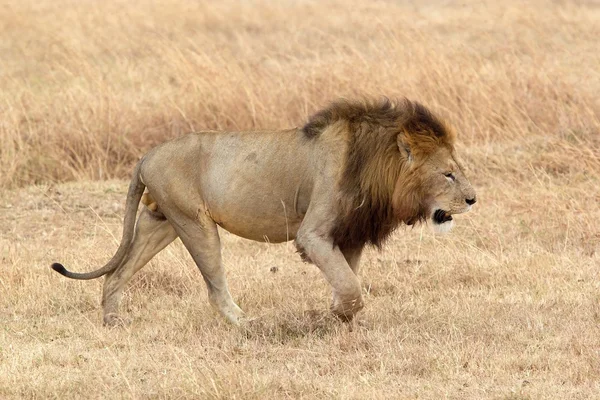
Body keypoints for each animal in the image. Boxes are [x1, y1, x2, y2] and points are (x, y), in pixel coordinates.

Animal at [49, 98, 476, 326]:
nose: (473, 199)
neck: (377, 169)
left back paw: (113, 322)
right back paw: (245, 324)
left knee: (116, 273)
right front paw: (337, 314)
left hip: (161, 221)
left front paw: (339, 314)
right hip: (194, 224)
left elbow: (348, 279)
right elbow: (350, 285)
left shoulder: (349, 234)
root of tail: (146, 155)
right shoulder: (313, 234)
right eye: (448, 174)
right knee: (214, 287)